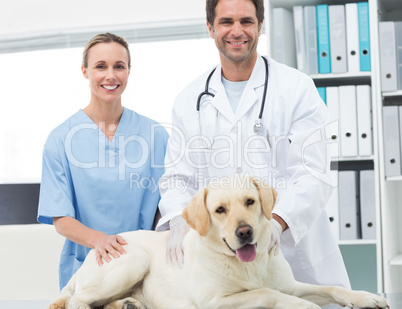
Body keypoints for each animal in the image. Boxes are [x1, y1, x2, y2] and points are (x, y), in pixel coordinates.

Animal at [47, 176, 390, 308]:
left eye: (250, 201)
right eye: (220, 210)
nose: (245, 232)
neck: (249, 265)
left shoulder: (290, 285)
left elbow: (331, 288)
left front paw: (366, 297)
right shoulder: (215, 301)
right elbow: (267, 293)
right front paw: (304, 306)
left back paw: (128, 304)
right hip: (134, 260)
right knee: (77, 301)